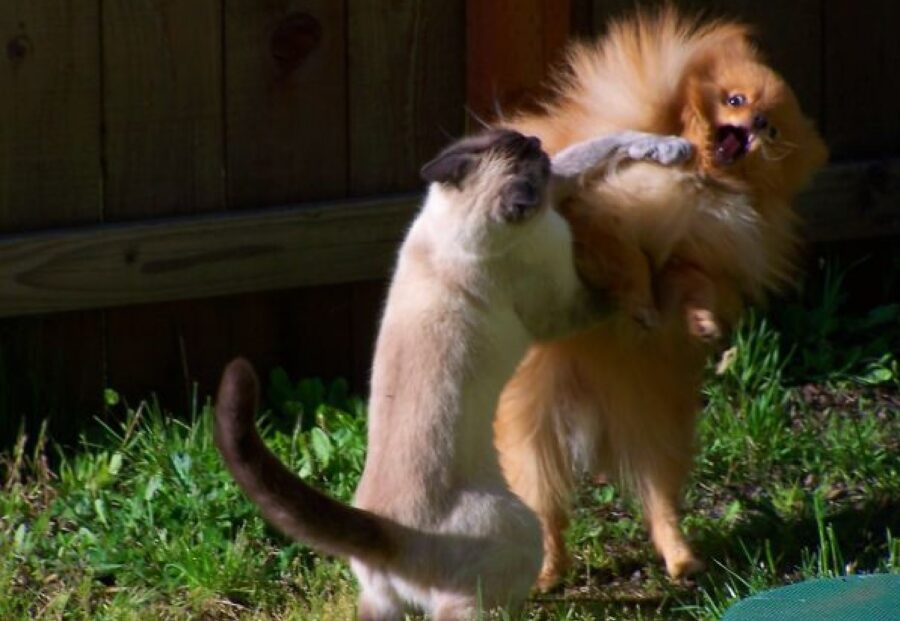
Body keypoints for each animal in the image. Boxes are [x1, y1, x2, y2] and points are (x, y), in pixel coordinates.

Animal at [214, 128, 692, 616]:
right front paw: (659, 298)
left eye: (528, 145)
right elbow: (617, 294)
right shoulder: (560, 308)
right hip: (519, 530)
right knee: (473, 605)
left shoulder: (558, 188)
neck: (466, 226)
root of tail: (386, 531)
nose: (536, 140)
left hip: (380, 601)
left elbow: (602, 144)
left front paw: (670, 148)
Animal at [496, 7, 828, 588]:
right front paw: (641, 307)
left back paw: (681, 558)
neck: (700, 182)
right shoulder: (597, 224)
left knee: (658, 498)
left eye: (774, 124)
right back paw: (546, 573)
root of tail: (594, 405)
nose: (757, 126)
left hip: (656, 426)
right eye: (736, 100)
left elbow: (690, 285)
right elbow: (627, 261)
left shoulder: (692, 258)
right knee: (544, 509)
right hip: (533, 435)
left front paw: (699, 323)